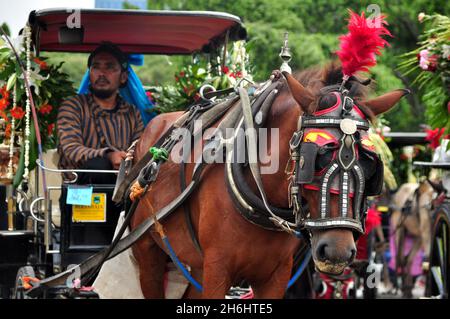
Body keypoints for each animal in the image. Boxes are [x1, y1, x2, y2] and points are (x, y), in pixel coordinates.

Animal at [128, 63, 406, 298]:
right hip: (148, 254)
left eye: (369, 163)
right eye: (317, 157)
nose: (337, 251)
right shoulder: (216, 269)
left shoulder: (277, 276)